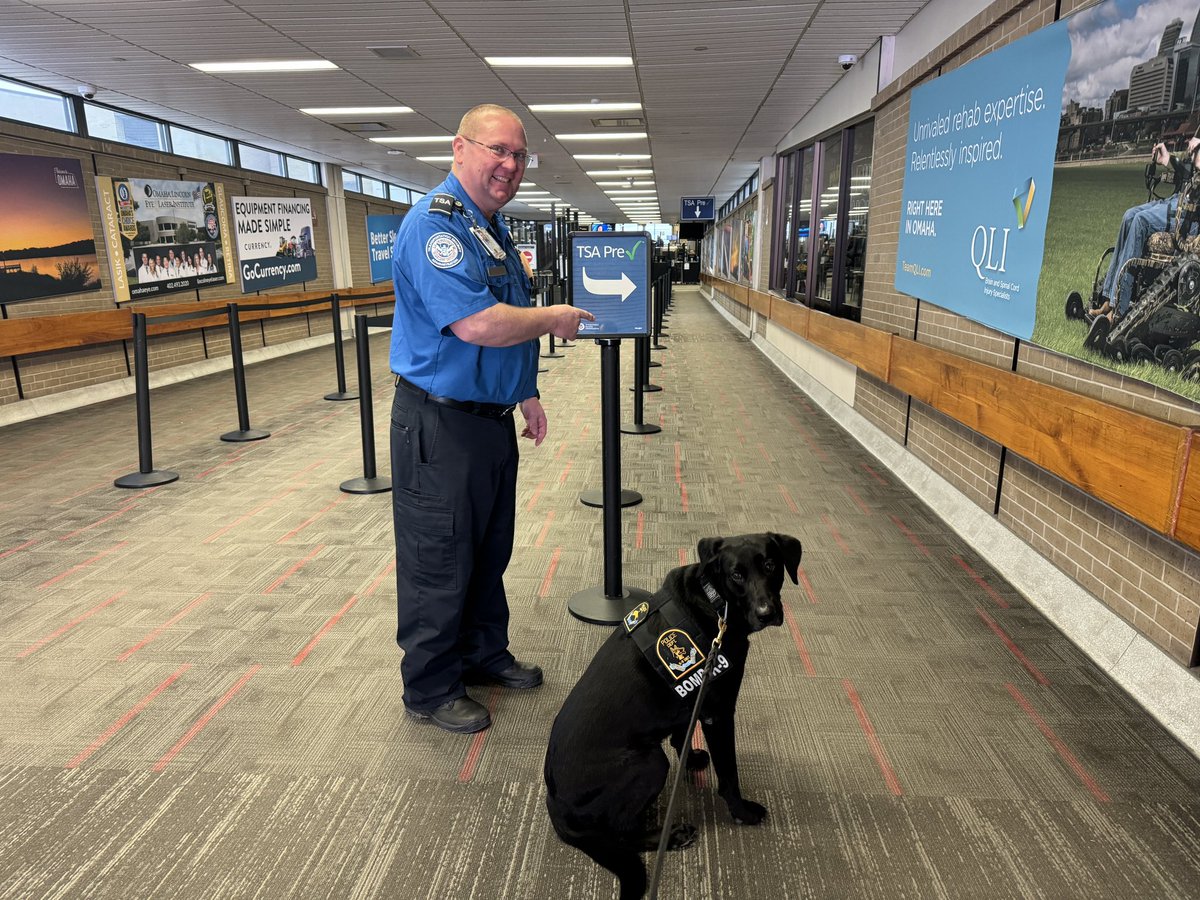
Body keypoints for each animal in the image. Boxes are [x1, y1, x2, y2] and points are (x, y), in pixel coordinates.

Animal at [549, 532, 801, 897]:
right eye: (736, 575)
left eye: (770, 565)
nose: (767, 612)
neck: (716, 602)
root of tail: (554, 803)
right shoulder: (719, 713)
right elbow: (729, 773)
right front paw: (742, 812)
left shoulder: (693, 703)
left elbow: (683, 734)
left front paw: (693, 758)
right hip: (650, 762)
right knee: (621, 831)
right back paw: (671, 836)